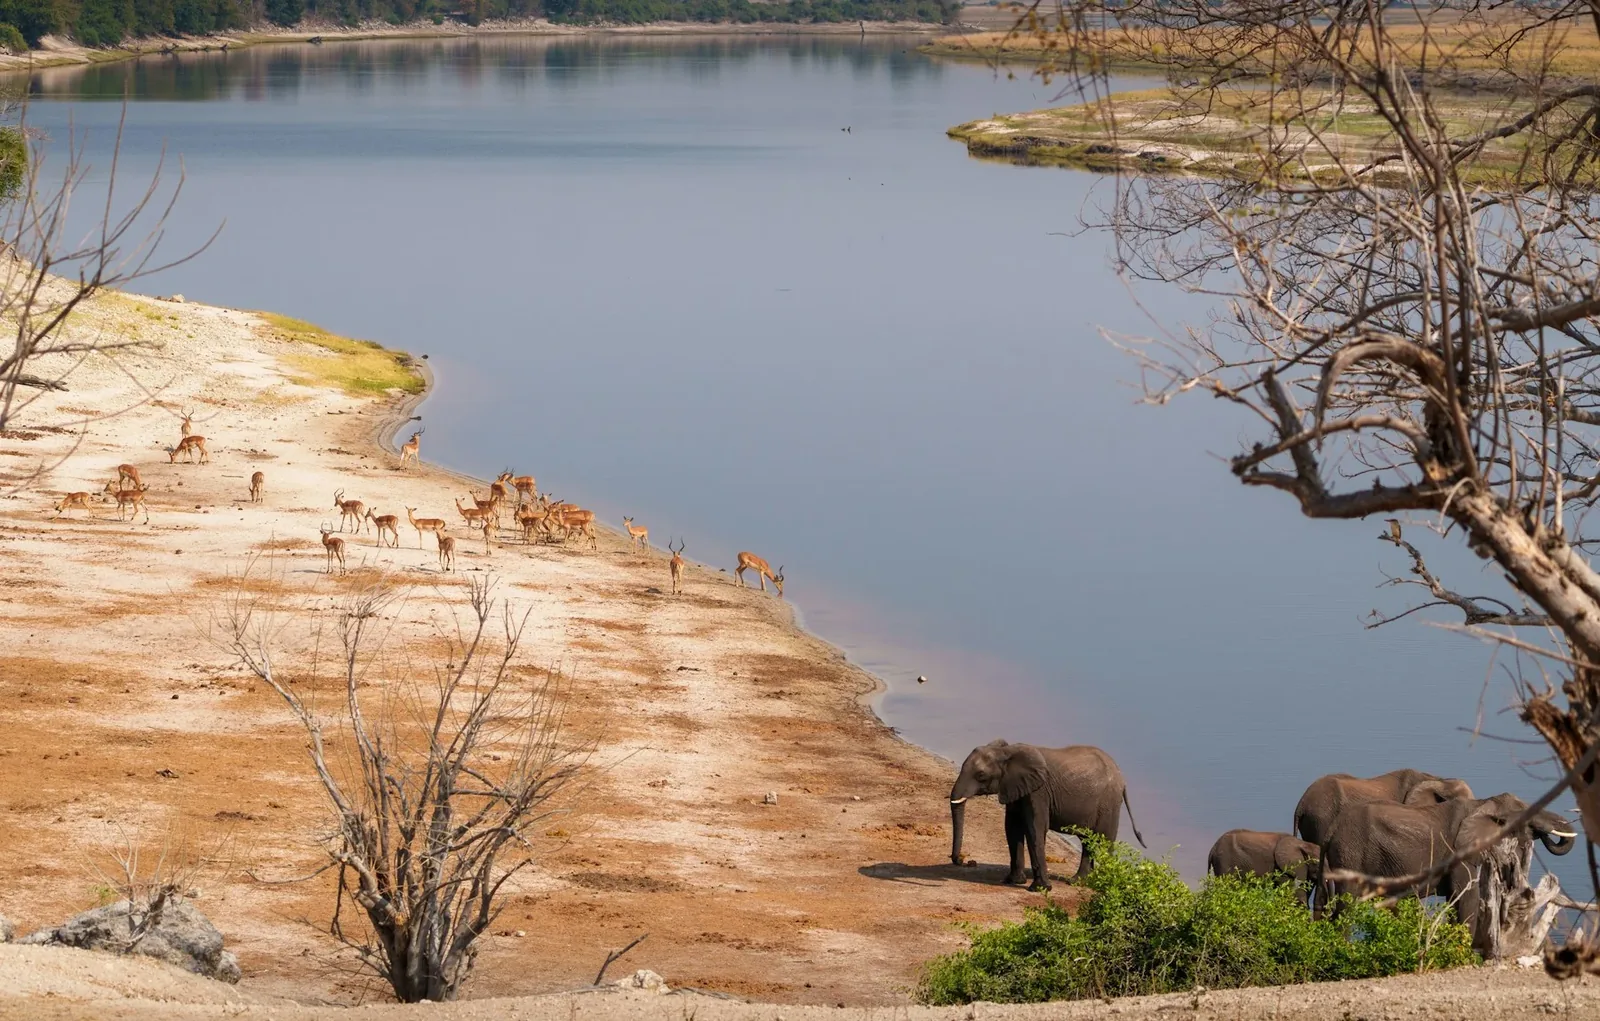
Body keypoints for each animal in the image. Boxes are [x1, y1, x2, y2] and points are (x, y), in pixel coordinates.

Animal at [949, 739, 1145, 891]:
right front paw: (1012, 881)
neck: (1007, 751)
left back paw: (1102, 883)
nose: (961, 860)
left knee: (1104, 840)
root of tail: (1121, 777)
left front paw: (1039, 889)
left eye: (981, 775)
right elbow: (1012, 828)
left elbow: (1035, 828)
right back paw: (1078, 881)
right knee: (1087, 841)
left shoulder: (1039, 792)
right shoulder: (1016, 788)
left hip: (1109, 803)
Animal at [1319, 792, 1577, 957]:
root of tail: (1331, 829)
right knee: (1346, 905)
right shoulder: (1459, 854)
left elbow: (1456, 901)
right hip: (1350, 853)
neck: (1481, 804)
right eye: (1526, 813)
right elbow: (1467, 898)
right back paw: (1344, 950)